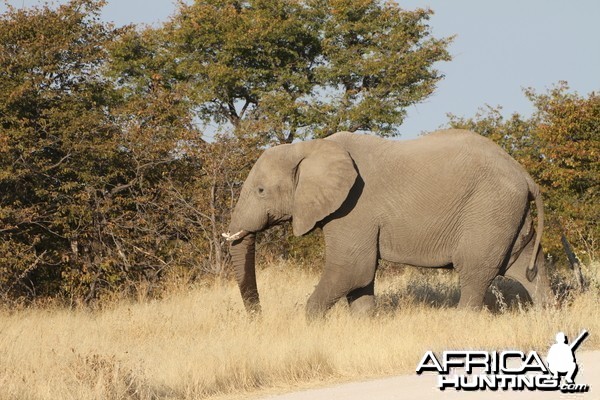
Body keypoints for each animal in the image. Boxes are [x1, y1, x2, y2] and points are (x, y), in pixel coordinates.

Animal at [221, 130, 552, 318]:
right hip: (507, 212)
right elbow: (359, 277)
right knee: (525, 264)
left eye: (261, 191)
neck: (310, 148)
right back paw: (546, 316)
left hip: (488, 209)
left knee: (475, 269)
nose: (258, 318)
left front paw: (311, 325)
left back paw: (460, 323)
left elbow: (352, 268)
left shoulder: (354, 207)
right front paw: (365, 325)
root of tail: (525, 174)